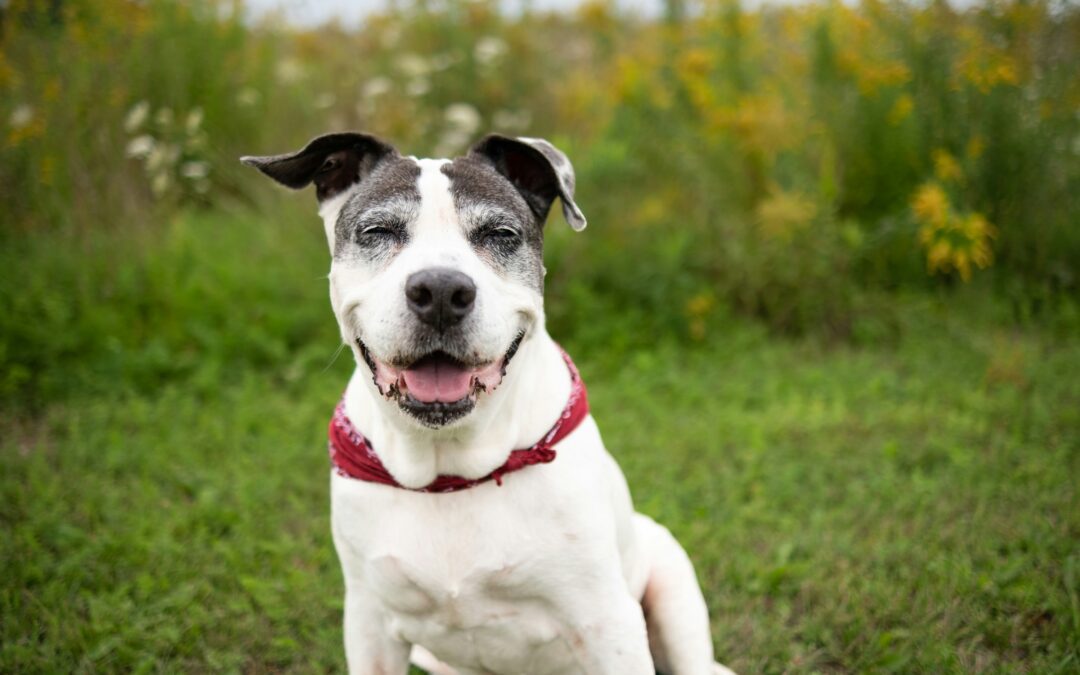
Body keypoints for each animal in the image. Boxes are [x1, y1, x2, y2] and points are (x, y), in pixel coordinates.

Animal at [245, 132, 734, 673]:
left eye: (499, 233)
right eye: (377, 230)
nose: (440, 290)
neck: (451, 471)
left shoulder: (609, 624)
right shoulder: (369, 624)